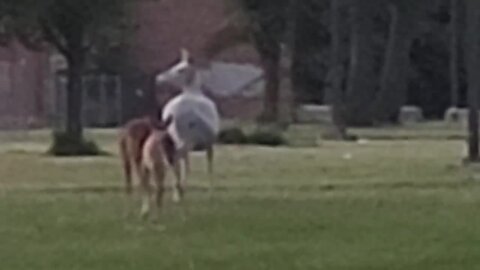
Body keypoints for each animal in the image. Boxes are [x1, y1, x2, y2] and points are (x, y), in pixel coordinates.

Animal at [155, 48, 220, 201]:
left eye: (181, 69)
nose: (158, 78)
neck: (194, 91)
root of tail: (171, 114)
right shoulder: (210, 141)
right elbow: (209, 164)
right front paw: (211, 193)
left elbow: (187, 164)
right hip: (185, 138)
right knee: (176, 156)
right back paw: (178, 191)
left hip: (173, 136)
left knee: (172, 157)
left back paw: (176, 191)